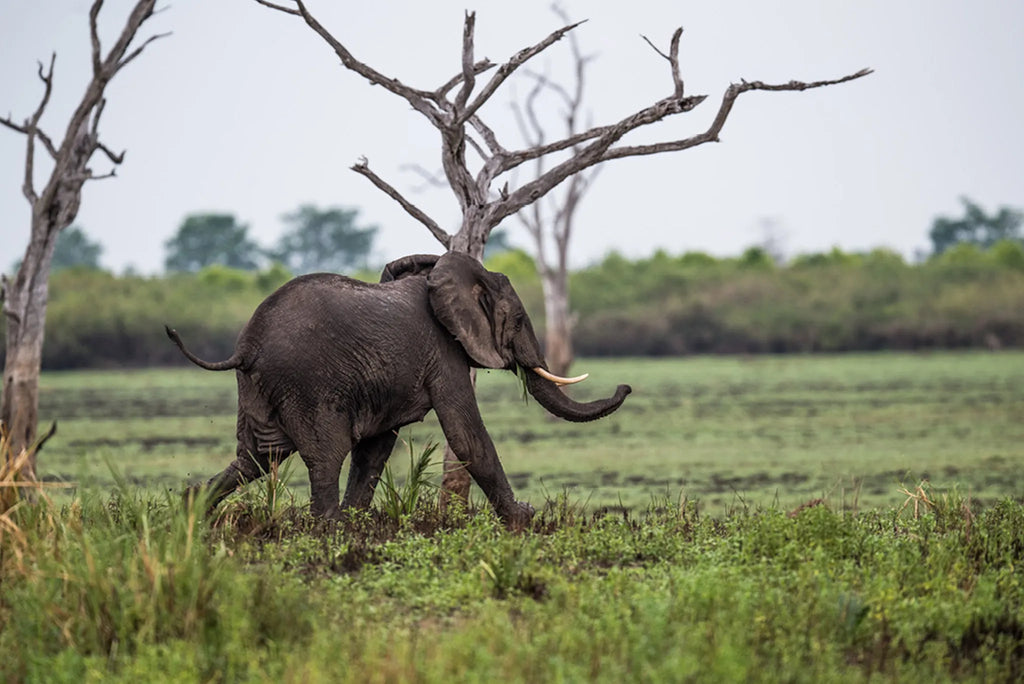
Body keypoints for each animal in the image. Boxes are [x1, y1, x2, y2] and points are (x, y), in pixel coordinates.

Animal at [165, 251, 631, 526]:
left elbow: (375, 449)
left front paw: (359, 522)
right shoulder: (444, 351)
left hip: (259, 390)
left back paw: (191, 511)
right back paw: (327, 529)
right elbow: (467, 435)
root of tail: (245, 348)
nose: (625, 385)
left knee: (258, 457)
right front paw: (523, 519)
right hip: (306, 387)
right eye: (517, 320)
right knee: (323, 455)